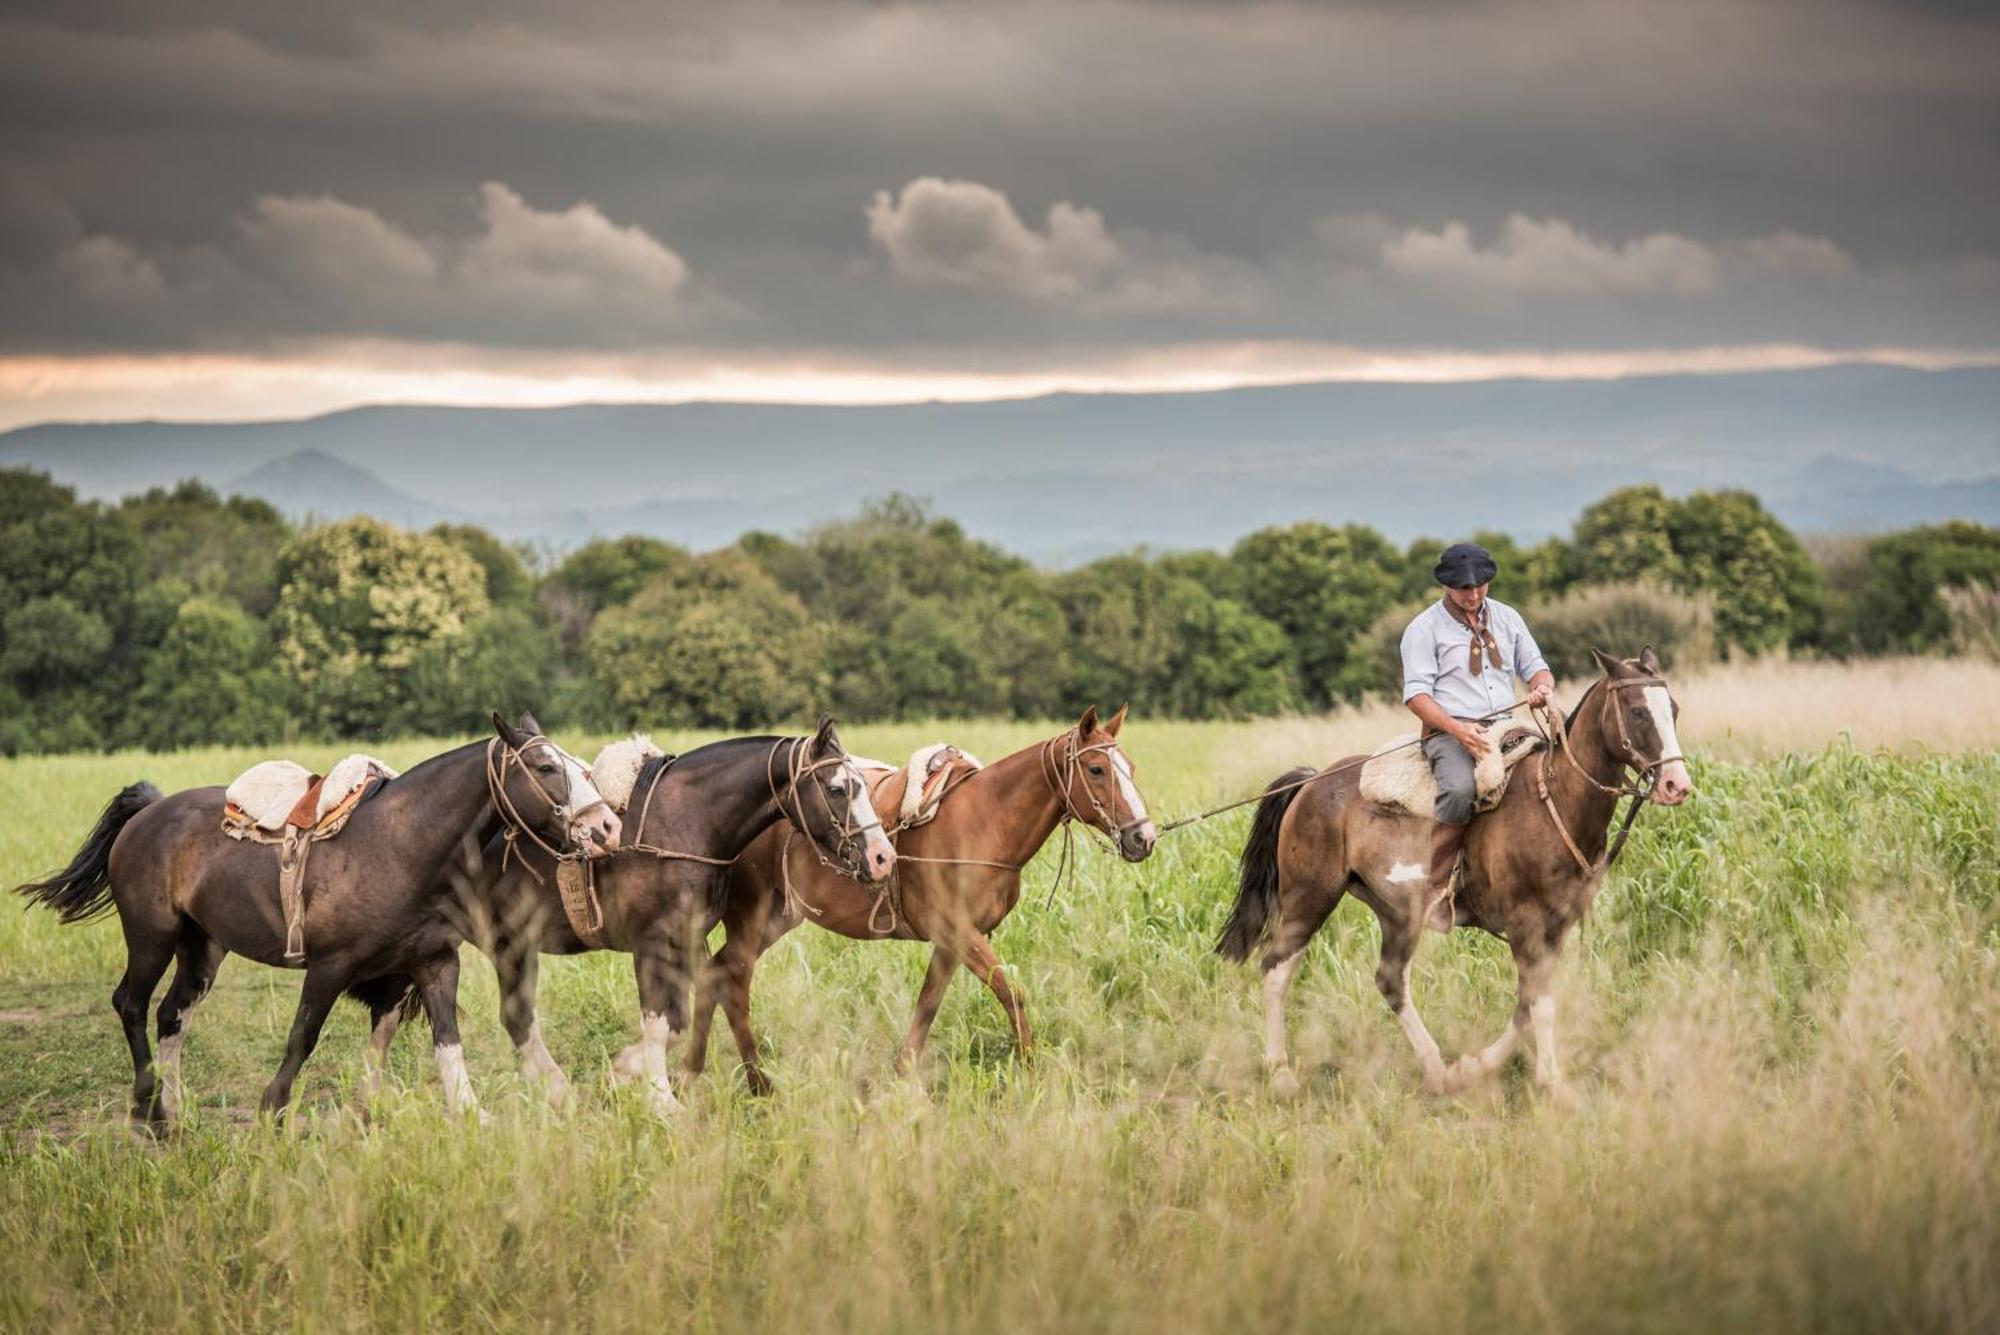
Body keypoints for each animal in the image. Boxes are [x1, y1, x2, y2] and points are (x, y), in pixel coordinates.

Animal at [13, 707, 616, 1127]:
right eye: (545, 766)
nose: (607, 826)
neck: (400, 845)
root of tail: (148, 812)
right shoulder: (330, 966)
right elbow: (303, 1036)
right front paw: (272, 1110)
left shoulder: (433, 964)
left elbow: (445, 1042)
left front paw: (469, 1113)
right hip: (151, 937)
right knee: (131, 1005)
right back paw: (148, 1110)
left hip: (202, 947)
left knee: (171, 1014)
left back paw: (177, 1108)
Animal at [460, 719, 900, 1119]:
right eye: (837, 788)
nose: (883, 856)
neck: (680, 823)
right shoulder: (651, 947)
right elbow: (659, 1023)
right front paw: (656, 1096)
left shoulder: (687, 940)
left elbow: (681, 1019)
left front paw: (627, 1074)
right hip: (508, 945)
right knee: (515, 1017)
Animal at [684, 703, 1160, 1087]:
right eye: (1097, 769)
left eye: (1132, 768)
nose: (1144, 838)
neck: (985, 821)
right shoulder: (957, 931)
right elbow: (1011, 993)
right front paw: (1029, 1071)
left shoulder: (953, 942)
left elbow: (927, 1004)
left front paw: (903, 1075)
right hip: (750, 917)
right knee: (733, 981)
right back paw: (754, 1081)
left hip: (778, 917)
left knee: (716, 974)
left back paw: (697, 1070)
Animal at [1208, 651, 1696, 1103]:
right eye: (1636, 710)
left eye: (1672, 708)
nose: (1676, 785)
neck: (1553, 801)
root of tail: (1310, 783)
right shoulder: (1524, 921)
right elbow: (1539, 1002)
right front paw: (1552, 1082)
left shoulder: (1556, 926)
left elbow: (1527, 1001)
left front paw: (1473, 1067)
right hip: (1308, 900)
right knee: (1276, 969)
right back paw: (1281, 1073)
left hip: (1397, 913)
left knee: (1390, 980)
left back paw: (1437, 1070)